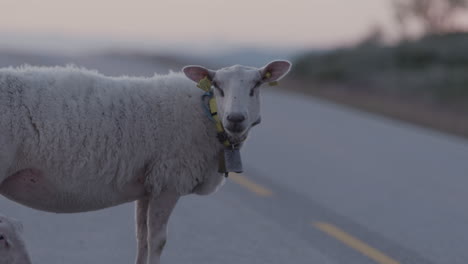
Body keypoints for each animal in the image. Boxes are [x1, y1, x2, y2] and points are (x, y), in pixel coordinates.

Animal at [0, 60, 292, 264]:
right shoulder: (170, 181)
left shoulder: (149, 183)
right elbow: (157, 240)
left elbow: (141, 238)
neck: (209, 116)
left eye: (256, 86)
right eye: (218, 86)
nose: (236, 118)